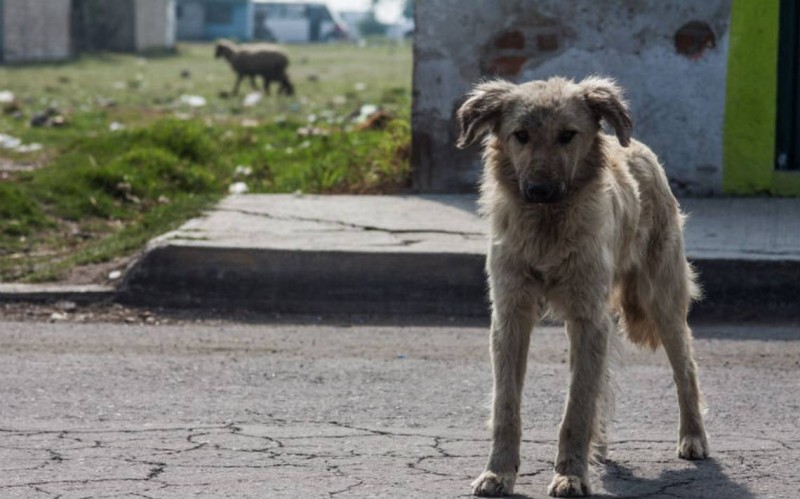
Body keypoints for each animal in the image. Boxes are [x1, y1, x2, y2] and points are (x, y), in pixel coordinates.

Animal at [460, 76, 708, 498]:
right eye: (520, 135)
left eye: (568, 135)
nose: (539, 190)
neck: (547, 228)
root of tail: (639, 148)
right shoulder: (511, 315)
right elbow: (506, 405)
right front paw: (498, 472)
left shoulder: (587, 318)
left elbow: (576, 407)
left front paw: (571, 474)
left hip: (661, 302)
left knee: (685, 369)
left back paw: (692, 436)